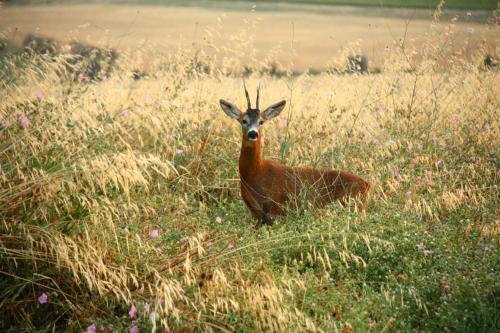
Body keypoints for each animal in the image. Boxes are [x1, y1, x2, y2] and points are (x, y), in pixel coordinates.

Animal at [220, 83, 372, 226]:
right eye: (244, 120)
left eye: (261, 121)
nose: (253, 133)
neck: (256, 173)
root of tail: (367, 184)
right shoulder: (255, 213)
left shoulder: (273, 208)